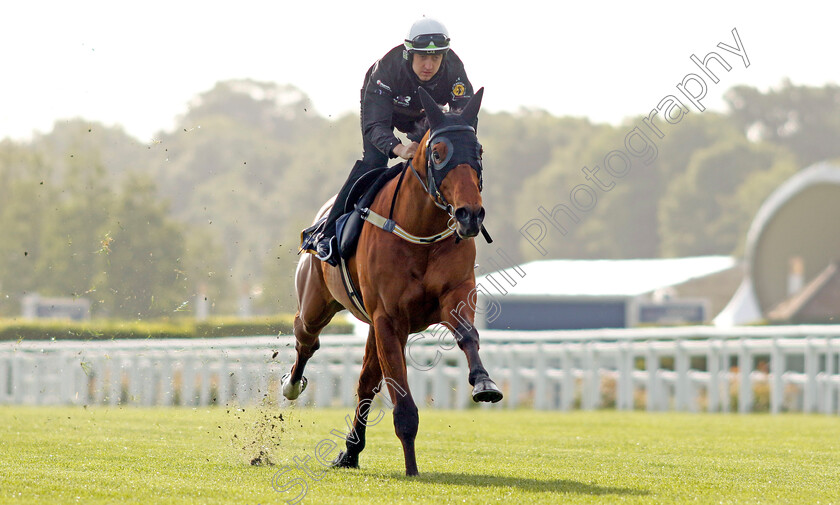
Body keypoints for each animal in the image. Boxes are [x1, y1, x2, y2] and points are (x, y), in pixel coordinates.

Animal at [286, 84, 502, 474]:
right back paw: (292, 385)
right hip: (317, 302)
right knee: (305, 337)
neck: (421, 230)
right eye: (437, 152)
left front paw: (483, 382)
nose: (470, 215)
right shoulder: (389, 319)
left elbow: (468, 335)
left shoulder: (454, 295)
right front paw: (412, 469)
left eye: (478, 150)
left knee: (365, 384)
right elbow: (401, 402)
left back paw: (351, 452)